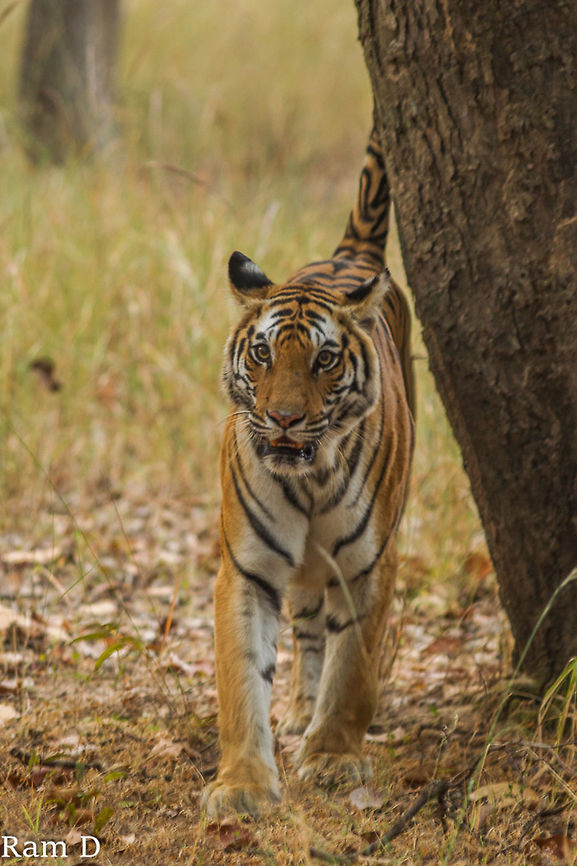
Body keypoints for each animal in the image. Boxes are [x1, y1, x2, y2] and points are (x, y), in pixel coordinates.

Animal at [202, 125, 415, 819]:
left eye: (324, 359)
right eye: (262, 353)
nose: (284, 418)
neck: (311, 478)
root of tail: (346, 255)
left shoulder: (370, 565)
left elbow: (354, 669)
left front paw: (332, 758)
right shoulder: (246, 568)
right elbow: (242, 678)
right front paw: (242, 785)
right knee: (306, 627)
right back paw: (296, 711)